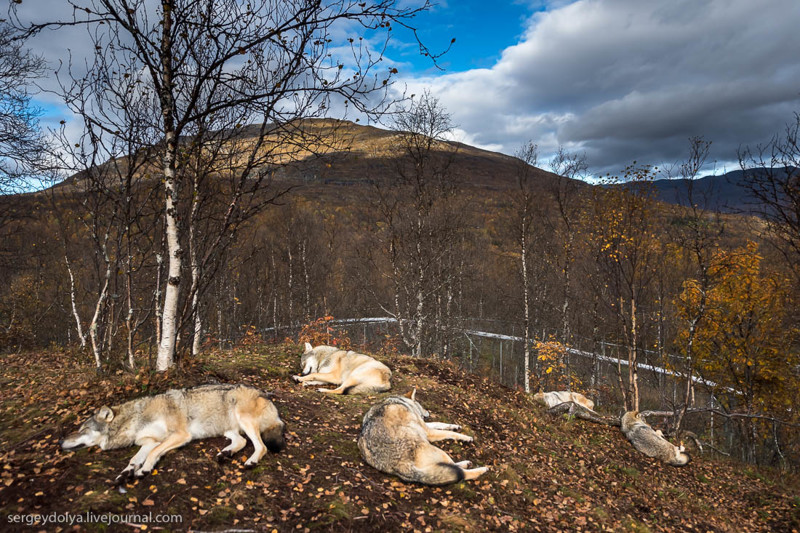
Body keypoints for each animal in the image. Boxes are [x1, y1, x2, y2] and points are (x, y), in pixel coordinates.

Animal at [61, 382, 288, 482]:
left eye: (82, 429)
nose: (60, 441)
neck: (136, 418)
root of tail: (264, 394)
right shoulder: (149, 441)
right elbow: (135, 458)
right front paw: (127, 471)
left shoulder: (179, 435)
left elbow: (153, 454)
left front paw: (144, 469)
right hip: (227, 430)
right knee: (241, 442)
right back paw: (225, 454)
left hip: (244, 421)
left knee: (261, 447)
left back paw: (251, 461)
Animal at [358, 388, 488, 484]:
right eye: (421, 405)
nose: (428, 412)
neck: (401, 401)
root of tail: (399, 465)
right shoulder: (428, 432)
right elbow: (450, 433)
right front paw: (466, 437)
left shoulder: (425, 426)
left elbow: (440, 424)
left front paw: (455, 426)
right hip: (439, 451)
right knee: (460, 472)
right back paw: (482, 469)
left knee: (450, 466)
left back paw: (467, 463)